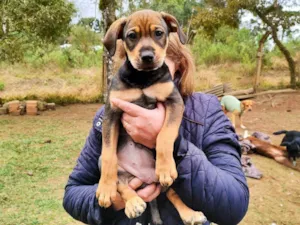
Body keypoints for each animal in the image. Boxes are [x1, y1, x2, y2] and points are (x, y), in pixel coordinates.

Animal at [95, 9, 206, 224]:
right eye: (132, 36)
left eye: (159, 33)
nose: (147, 56)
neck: (142, 78)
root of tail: (146, 178)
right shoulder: (111, 112)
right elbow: (109, 154)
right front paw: (104, 189)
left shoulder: (174, 102)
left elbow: (165, 136)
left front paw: (164, 167)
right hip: (116, 171)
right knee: (123, 185)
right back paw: (133, 203)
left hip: (167, 181)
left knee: (172, 192)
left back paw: (190, 213)